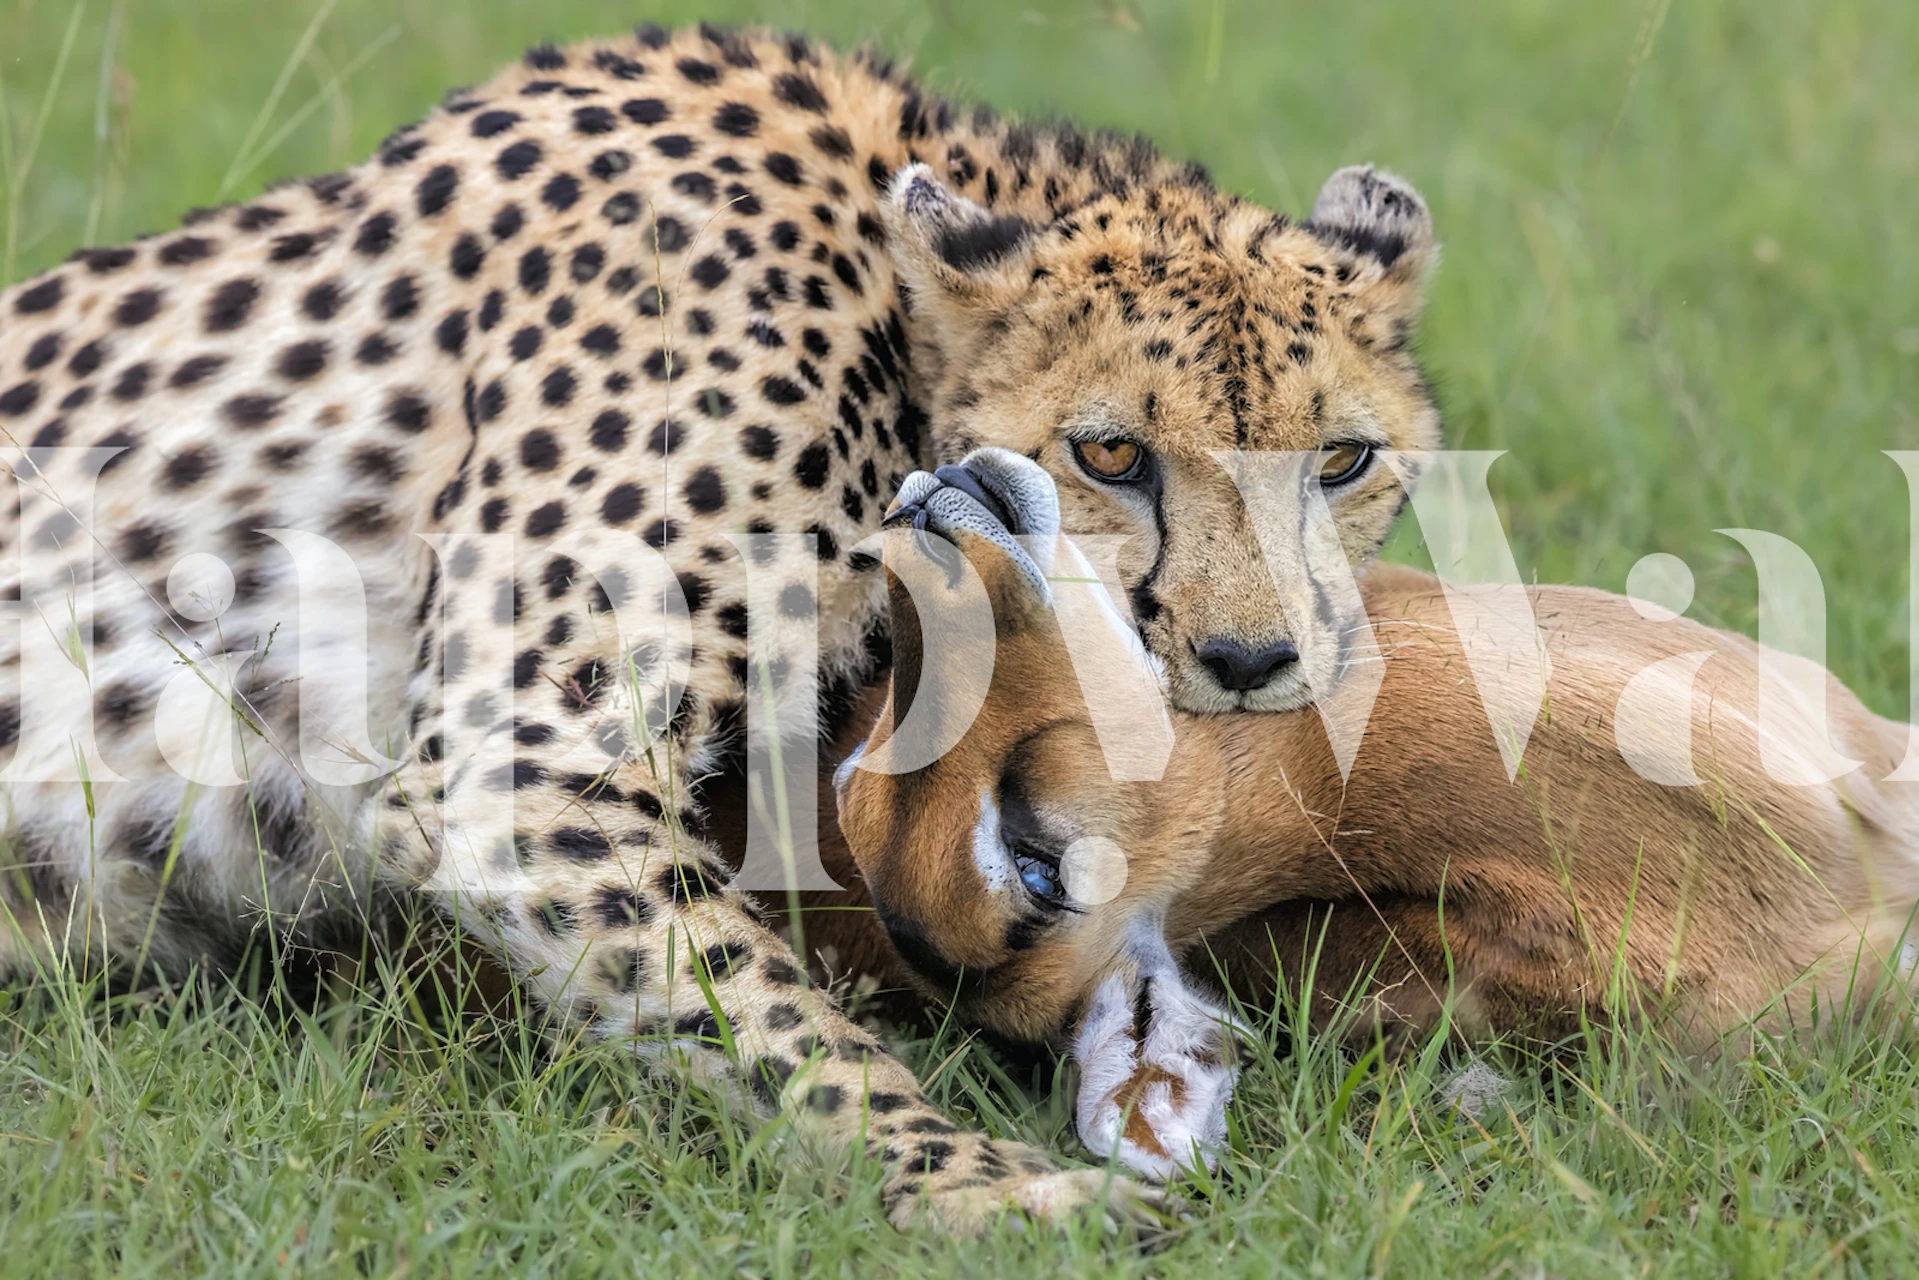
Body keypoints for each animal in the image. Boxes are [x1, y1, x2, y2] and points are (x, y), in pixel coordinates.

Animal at [0, 22, 1439, 1230]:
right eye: (1111, 452)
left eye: (1341, 461)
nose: (1251, 662)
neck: (876, 311)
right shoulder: (513, 763)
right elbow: (766, 1010)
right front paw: (984, 1187)